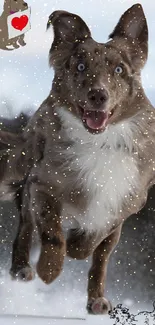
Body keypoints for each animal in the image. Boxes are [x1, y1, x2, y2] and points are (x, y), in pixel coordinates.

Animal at [0, 3, 155, 316]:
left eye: (119, 70)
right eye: (81, 67)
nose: (98, 95)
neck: (100, 141)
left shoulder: (125, 202)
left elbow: (94, 241)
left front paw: (77, 245)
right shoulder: (43, 185)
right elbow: (51, 234)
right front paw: (48, 270)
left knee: (101, 260)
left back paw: (96, 299)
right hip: (26, 177)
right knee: (25, 228)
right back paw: (22, 269)